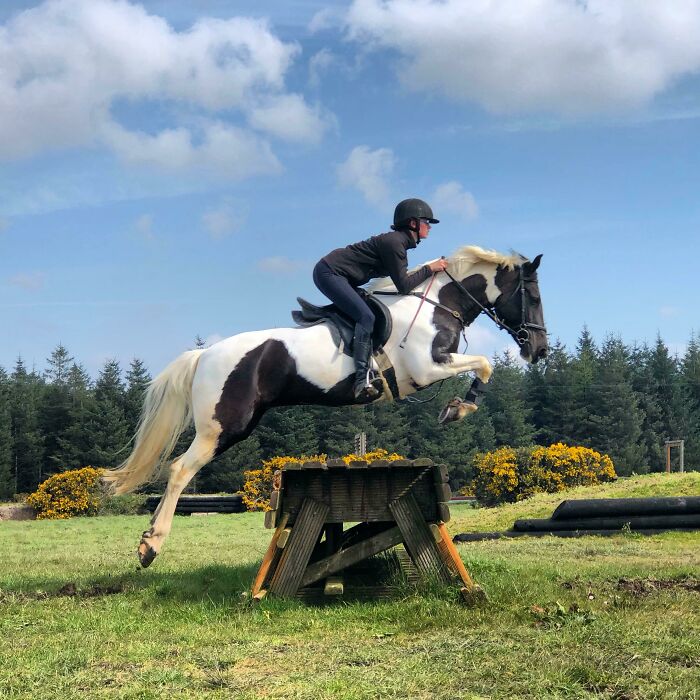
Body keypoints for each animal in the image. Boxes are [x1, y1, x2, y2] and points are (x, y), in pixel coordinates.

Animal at [104, 245, 547, 567]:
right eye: (534, 297)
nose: (539, 351)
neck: (437, 303)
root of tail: (205, 354)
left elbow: (483, 365)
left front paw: (457, 407)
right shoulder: (425, 368)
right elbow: (486, 363)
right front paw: (459, 408)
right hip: (225, 427)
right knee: (180, 470)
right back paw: (150, 546)